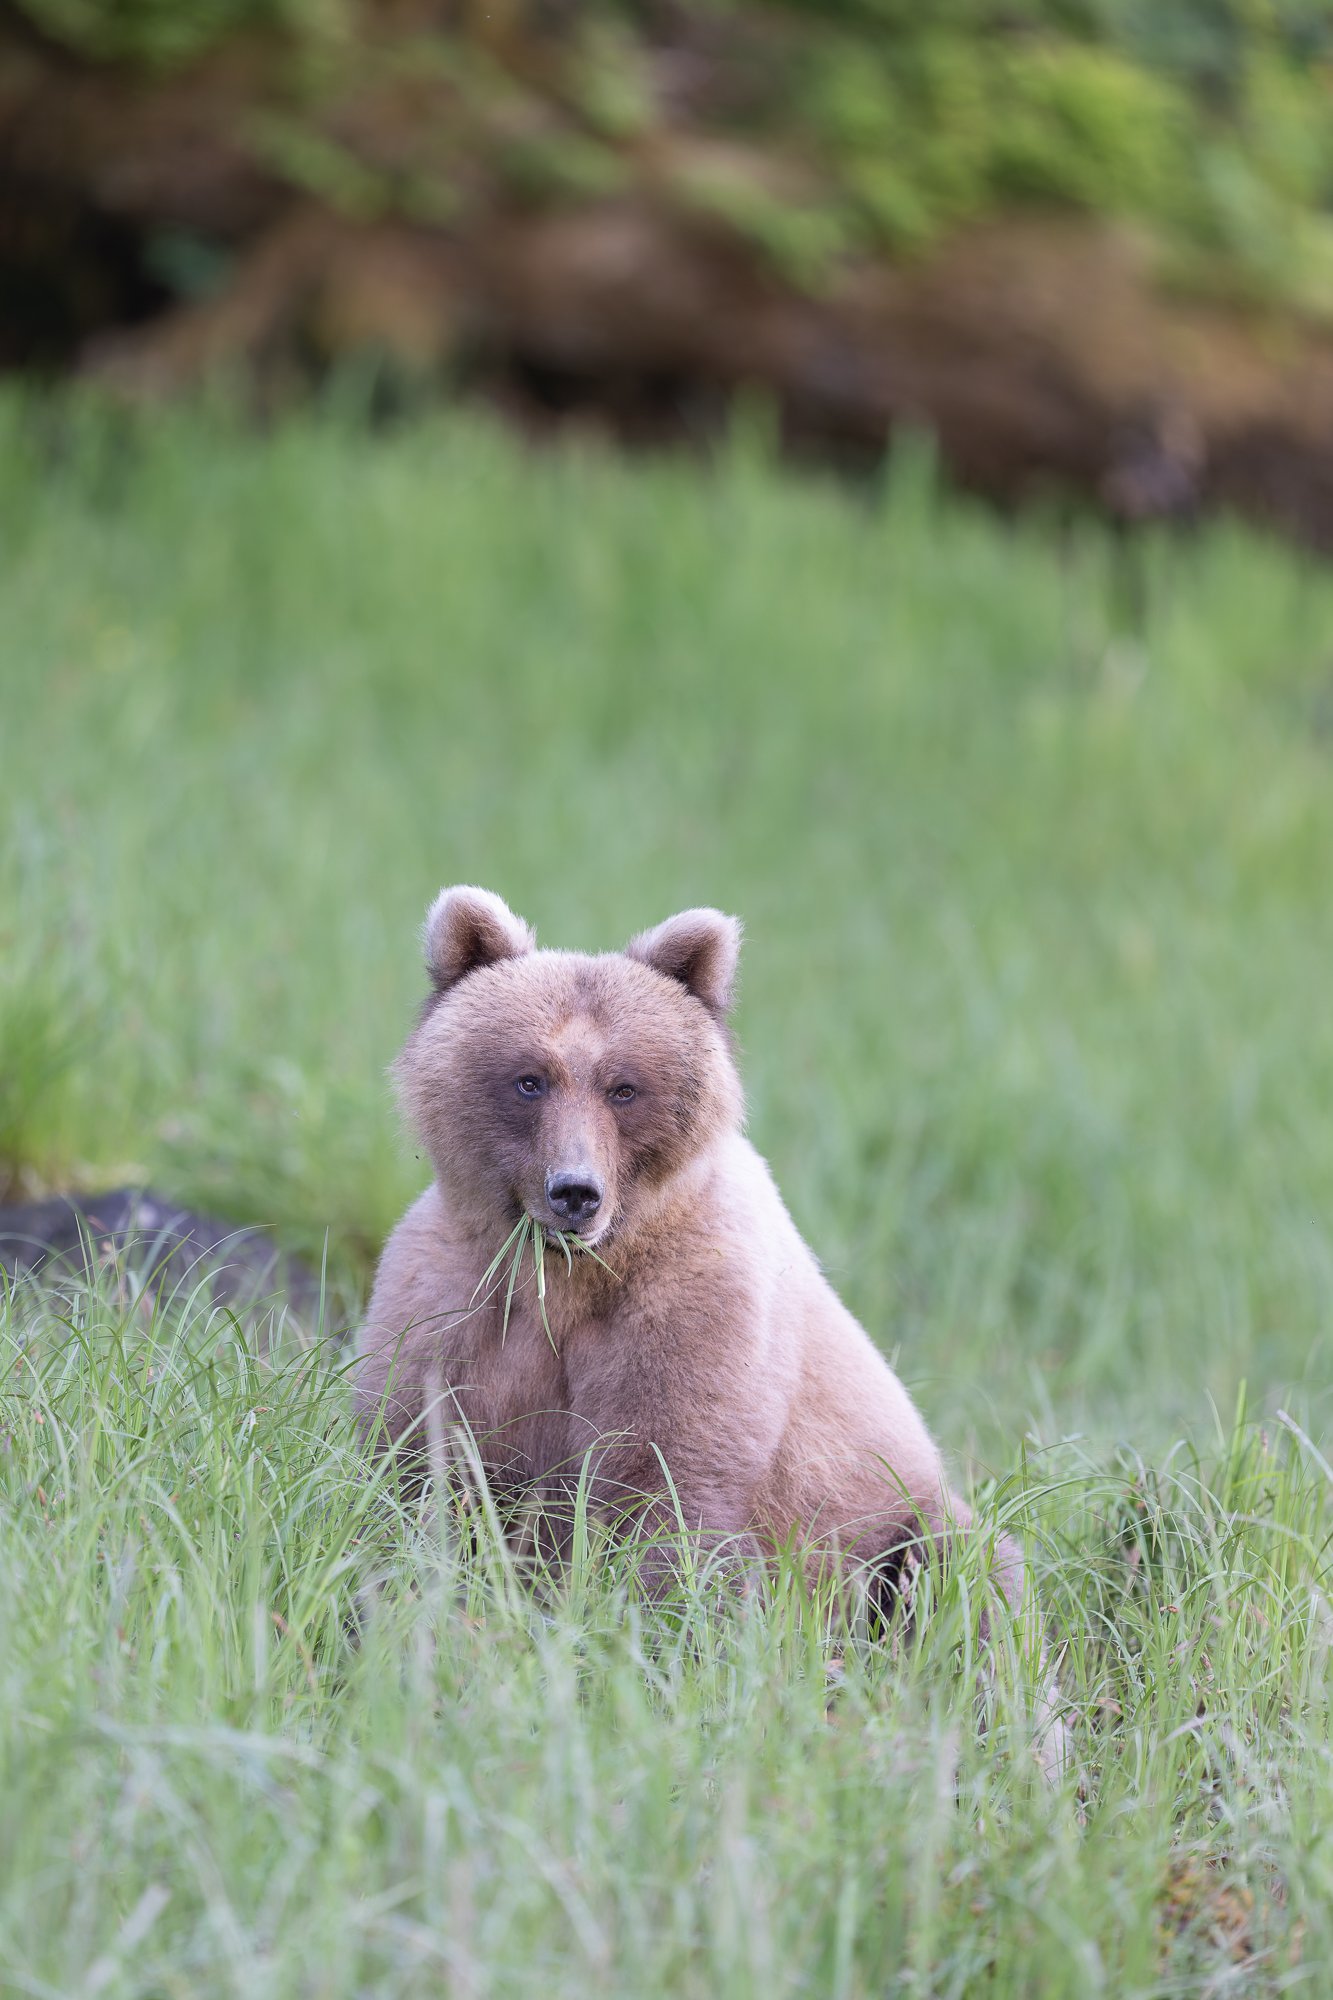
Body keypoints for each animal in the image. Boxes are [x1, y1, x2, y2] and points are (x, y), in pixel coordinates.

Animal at [354, 884, 1061, 1740]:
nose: (574, 1192)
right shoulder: (450, 1301)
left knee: (972, 1588)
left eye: (624, 1086)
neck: (568, 1277)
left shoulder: (696, 1312)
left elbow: (667, 1490)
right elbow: (418, 1463)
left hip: (893, 1523)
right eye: (530, 1078)